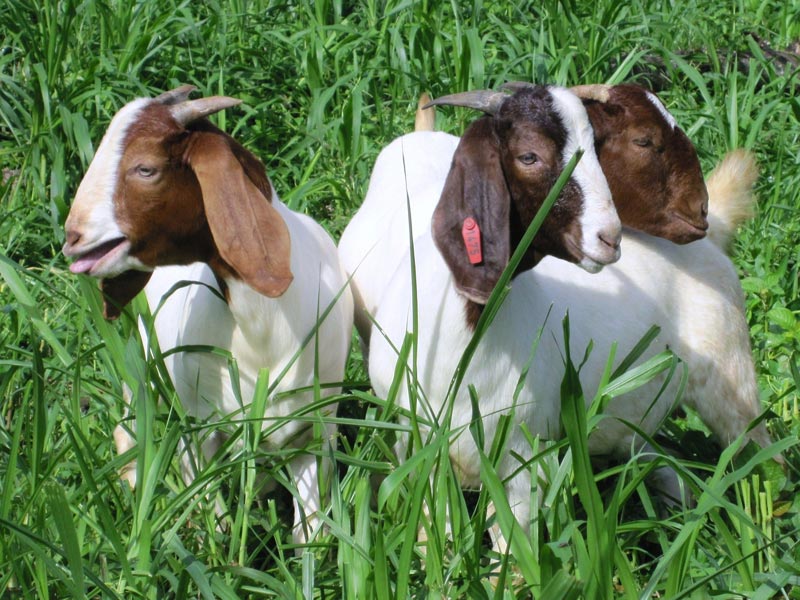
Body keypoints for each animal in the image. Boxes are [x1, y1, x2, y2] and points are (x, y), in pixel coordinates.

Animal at [63, 85, 354, 543]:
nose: (72, 237)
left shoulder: (317, 424)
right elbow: (211, 520)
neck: (262, 329)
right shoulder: (200, 425)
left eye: (145, 168)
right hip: (147, 354)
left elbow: (310, 533)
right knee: (128, 419)